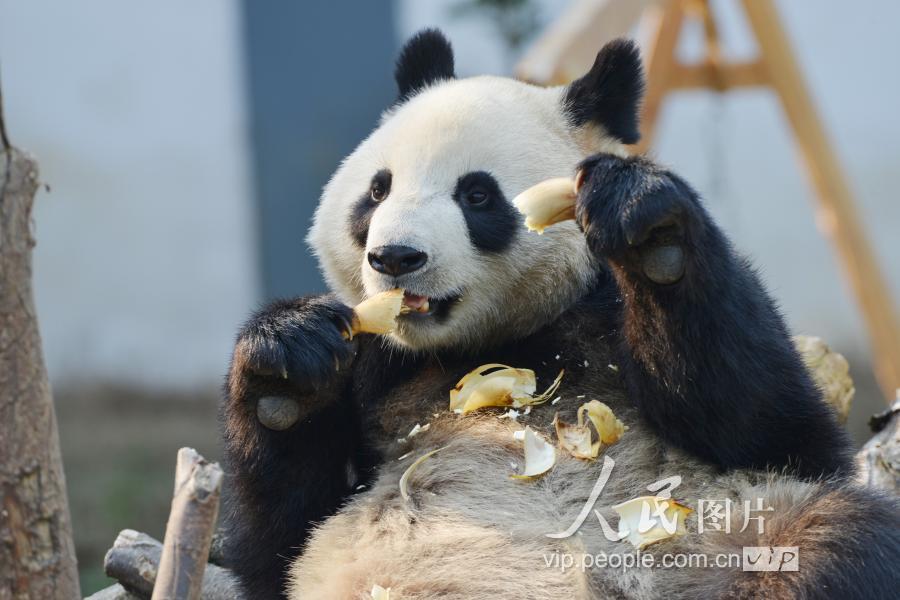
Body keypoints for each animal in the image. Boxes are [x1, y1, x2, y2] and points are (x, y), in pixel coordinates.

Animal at [223, 29, 900, 600]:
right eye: (377, 190)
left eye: (476, 194)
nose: (395, 258)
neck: (489, 344)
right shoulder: (375, 369)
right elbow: (279, 544)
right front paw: (286, 366)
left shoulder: (603, 310)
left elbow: (772, 428)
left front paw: (652, 237)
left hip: (720, 541)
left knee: (829, 541)